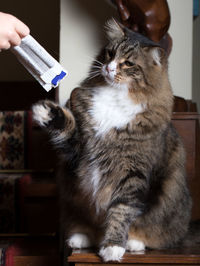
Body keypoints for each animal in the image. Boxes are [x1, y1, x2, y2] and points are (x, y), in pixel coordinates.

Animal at [32, 19, 192, 262]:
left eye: (128, 63)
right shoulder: (79, 151)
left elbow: (122, 211)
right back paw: (81, 238)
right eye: (110, 53)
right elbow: (66, 127)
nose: (108, 68)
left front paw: (113, 247)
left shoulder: (133, 173)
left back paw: (133, 243)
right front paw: (46, 112)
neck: (115, 97)